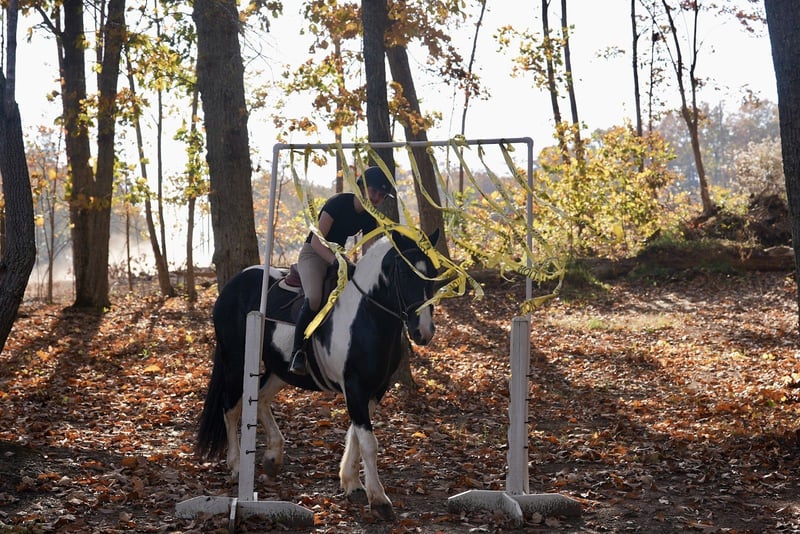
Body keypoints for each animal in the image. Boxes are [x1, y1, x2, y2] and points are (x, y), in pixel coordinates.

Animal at [196, 229, 439, 521]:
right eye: (404, 271)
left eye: (434, 272)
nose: (423, 331)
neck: (366, 315)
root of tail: (232, 285)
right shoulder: (355, 387)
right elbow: (368, 443)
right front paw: (379, 500)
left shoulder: (374, 390)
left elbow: (356, 436)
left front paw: (352, 484)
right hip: (235, 362)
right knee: (231, 408)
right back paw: (235, 465)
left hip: (279, 369)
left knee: (261, 399)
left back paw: (273, 457)